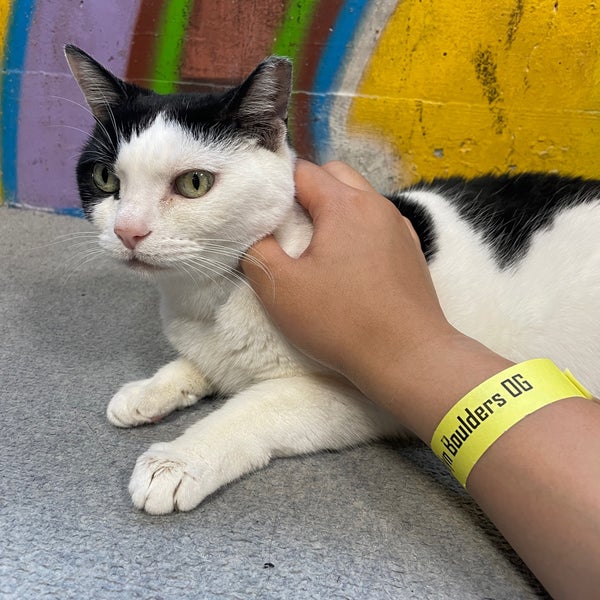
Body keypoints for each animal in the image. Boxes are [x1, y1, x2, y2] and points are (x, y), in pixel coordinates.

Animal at [65, 45, 600, 516]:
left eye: (194, 184)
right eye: (106, 179)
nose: (128, 231)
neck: (212, 294)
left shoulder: (362, 393)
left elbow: (254, 404)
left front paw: (178, 461)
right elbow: (203, 362)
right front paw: (150, 390)